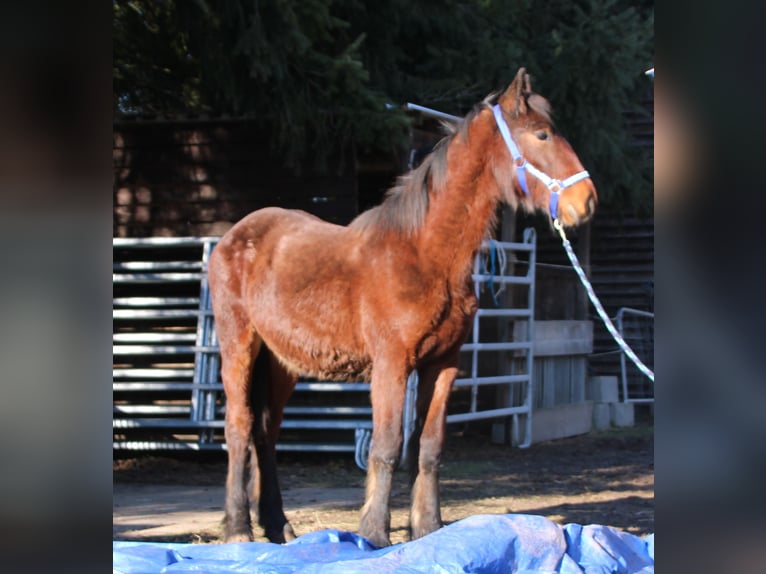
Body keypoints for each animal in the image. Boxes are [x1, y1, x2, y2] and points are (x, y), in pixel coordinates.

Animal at [210, 66, 600, 548]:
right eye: (542, 134)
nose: (586, 200)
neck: (423, 254)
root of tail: (234, 236)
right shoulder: (392, 364)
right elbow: (388, 445)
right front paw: (375, 535)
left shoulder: (443, 364)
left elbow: (428, 447)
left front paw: (429, 529)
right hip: (239, 348)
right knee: (239, 427)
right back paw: (238, 529)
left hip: (282, 363)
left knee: (266, 433)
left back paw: (278, 525)